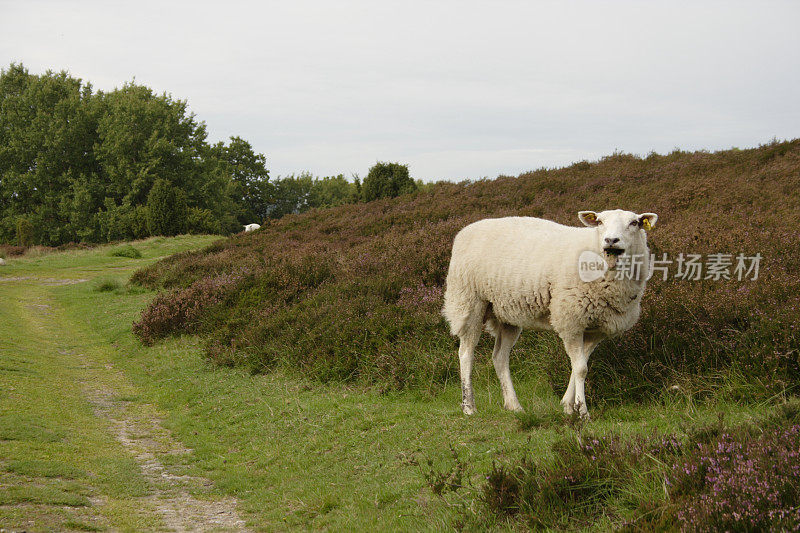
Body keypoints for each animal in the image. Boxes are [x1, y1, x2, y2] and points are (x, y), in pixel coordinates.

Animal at [444, 209, 656, 420]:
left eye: (634, 223)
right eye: (600, 222)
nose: (611, 240)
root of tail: (465, 230)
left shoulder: (596, 330)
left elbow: (579, 366)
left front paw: (569, 406)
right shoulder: (570, 320)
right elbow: (581, 369)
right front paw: (582, 412)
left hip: (506, 313)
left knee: (500, 357)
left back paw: (513, 405)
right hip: (468, 301)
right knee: (466, 353)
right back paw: (469, 406)